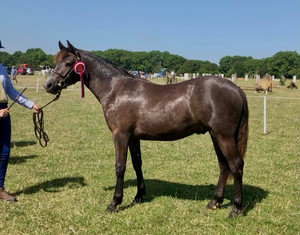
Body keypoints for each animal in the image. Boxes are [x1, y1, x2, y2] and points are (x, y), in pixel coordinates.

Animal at [44, 40, 248, 218]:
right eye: (56, 62)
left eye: (68, 62)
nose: (48, 85)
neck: (116, 89)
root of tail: (237, 89)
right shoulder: (133, 138)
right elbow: (137, 164)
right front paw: (138, 196)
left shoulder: (120, 135)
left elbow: (120, 167)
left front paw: (114, 203)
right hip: (215, 135)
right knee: (224, 166)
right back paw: (215, 202)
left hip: (224, 137)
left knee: (236, 165)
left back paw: (236, 208)